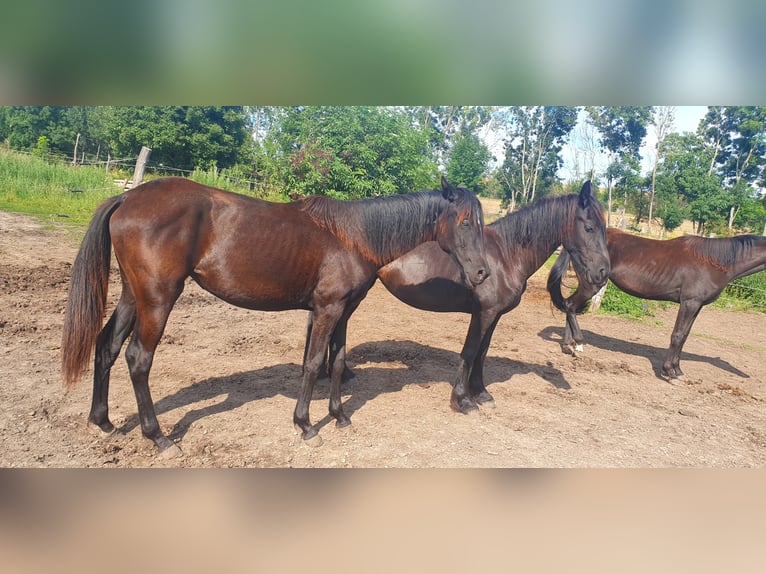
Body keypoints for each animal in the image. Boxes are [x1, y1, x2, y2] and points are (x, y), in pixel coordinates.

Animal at [61, 176, 489, 456]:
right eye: (466, 222)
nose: (483, 273)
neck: (354, 237)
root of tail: (126, 200)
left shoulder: (344, 311)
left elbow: (337, 363)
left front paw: (339, 416)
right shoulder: (327, 309)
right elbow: (313, 364)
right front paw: (306, 425)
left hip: (133, 296)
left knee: (107, 346)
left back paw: (103, 422)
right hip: (158, 299)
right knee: (138, 359)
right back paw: (159, 438)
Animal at [311, 181, 609, 413]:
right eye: (589, 227)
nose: (603, 272)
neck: (506, 256)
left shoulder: (494, 316)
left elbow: (482, 353)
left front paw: (482, 393)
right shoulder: (482, 314)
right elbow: (469, 352)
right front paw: (462, 400)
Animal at [547, 227, 766, 379]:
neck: (715, 262)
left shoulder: (697, 305)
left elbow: (685, 336)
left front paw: (677, 369)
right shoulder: (689, 303)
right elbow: (677, 335)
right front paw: (670, 371)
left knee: (569, 305)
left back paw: (568, 346)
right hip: (591, 284)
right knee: (571, 306)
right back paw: (578, 344)